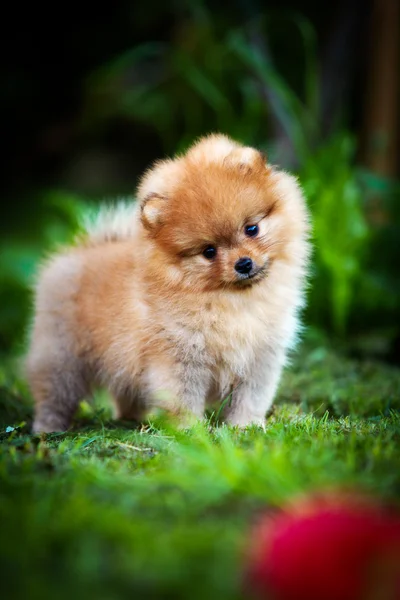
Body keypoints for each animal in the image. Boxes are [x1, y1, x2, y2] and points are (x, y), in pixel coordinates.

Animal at [26, 134, 310, 432]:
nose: (243, 264)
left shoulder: (260, 359)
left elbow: (251, 398)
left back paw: (132, 419)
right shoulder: (179, 359)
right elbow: (183, 399)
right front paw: (191, 432)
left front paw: (246, 428)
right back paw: (48, 429)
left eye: (251, 229)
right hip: (61, 356)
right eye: (209, 251)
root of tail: (80, 251)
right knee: (53, 394)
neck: (231, 301)